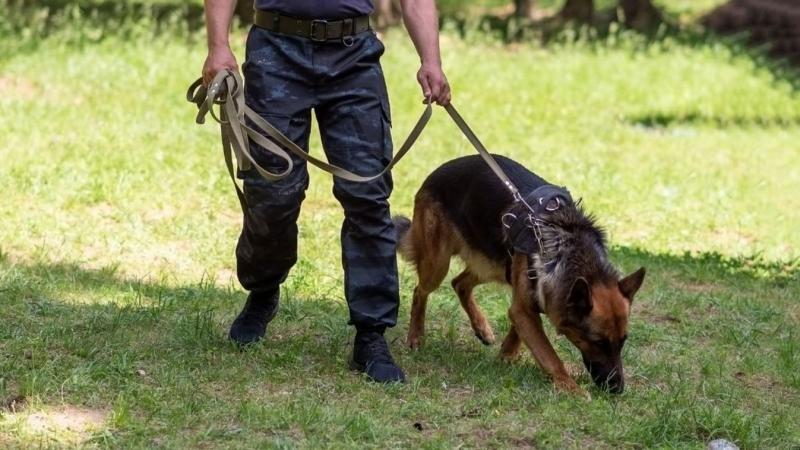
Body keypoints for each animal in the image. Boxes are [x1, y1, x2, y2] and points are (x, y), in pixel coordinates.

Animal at [396, 155, 648, 394]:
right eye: (598, 342)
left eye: (623, 341)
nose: (617, 389)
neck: (568, 248)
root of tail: (437, 172)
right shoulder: (524, 308)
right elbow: (548, 354)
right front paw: (571, 388)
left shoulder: (526, 303)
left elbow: (518, 330)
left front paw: (507, 355)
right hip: (438, 265)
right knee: (420, 291)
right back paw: (416, 336)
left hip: (493, 265)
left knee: (459, 283)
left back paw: (482, 327)